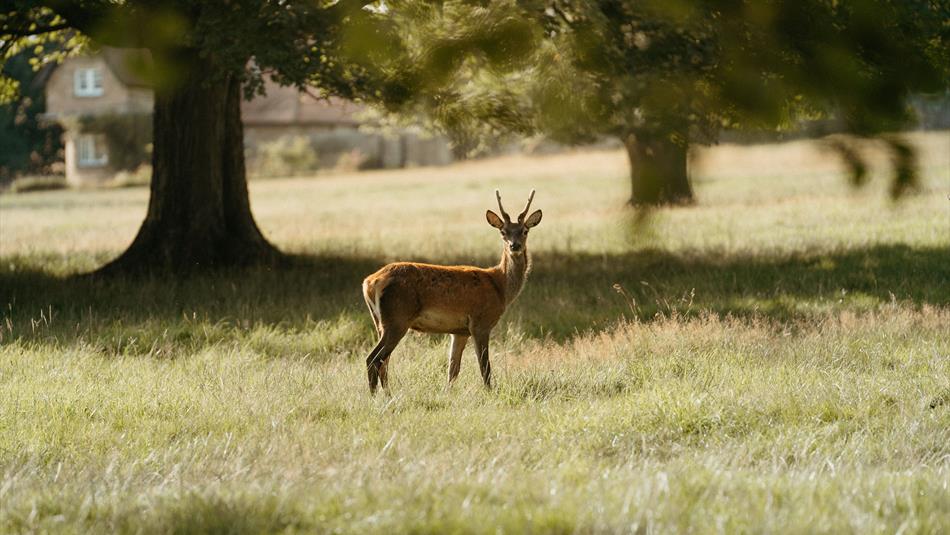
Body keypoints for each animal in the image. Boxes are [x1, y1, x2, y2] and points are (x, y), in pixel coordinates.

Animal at [362, 189, 544, 394]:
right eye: (503, 232)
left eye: (525, 231)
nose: (515, 246)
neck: (500, 287)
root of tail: (369, 282)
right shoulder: (480, 322)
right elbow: (485, 367)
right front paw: (490, 392)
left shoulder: (459, 331)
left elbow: (453, 370)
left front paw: (446, 393)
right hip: (397, 317)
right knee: (374, 359)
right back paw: (376, 396)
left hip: (380, 321)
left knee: (384, 362)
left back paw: (387, 394)